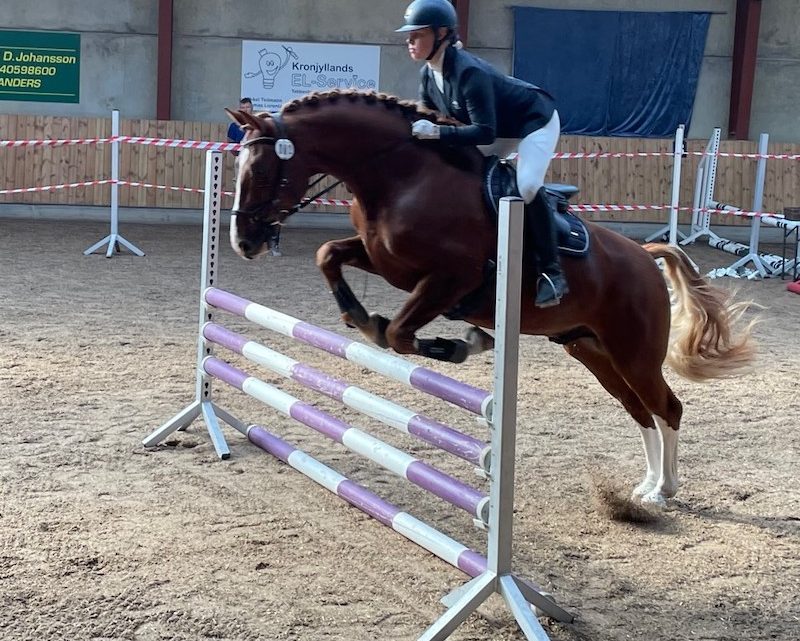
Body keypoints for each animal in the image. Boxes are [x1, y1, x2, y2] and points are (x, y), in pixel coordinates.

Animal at [227, 90, 756, 504]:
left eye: (263, 169)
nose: (242, 243)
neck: (400, 174)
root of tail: (646, 257)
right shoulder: (390, 264)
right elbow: (329, 256)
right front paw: (359, 316)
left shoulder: (449, 279)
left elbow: (398, 333)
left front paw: (463, 343)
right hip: (591, 350)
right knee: (640, 410)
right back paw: (645, 486)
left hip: (634, 352)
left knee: (667, 408)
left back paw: (664, 490)